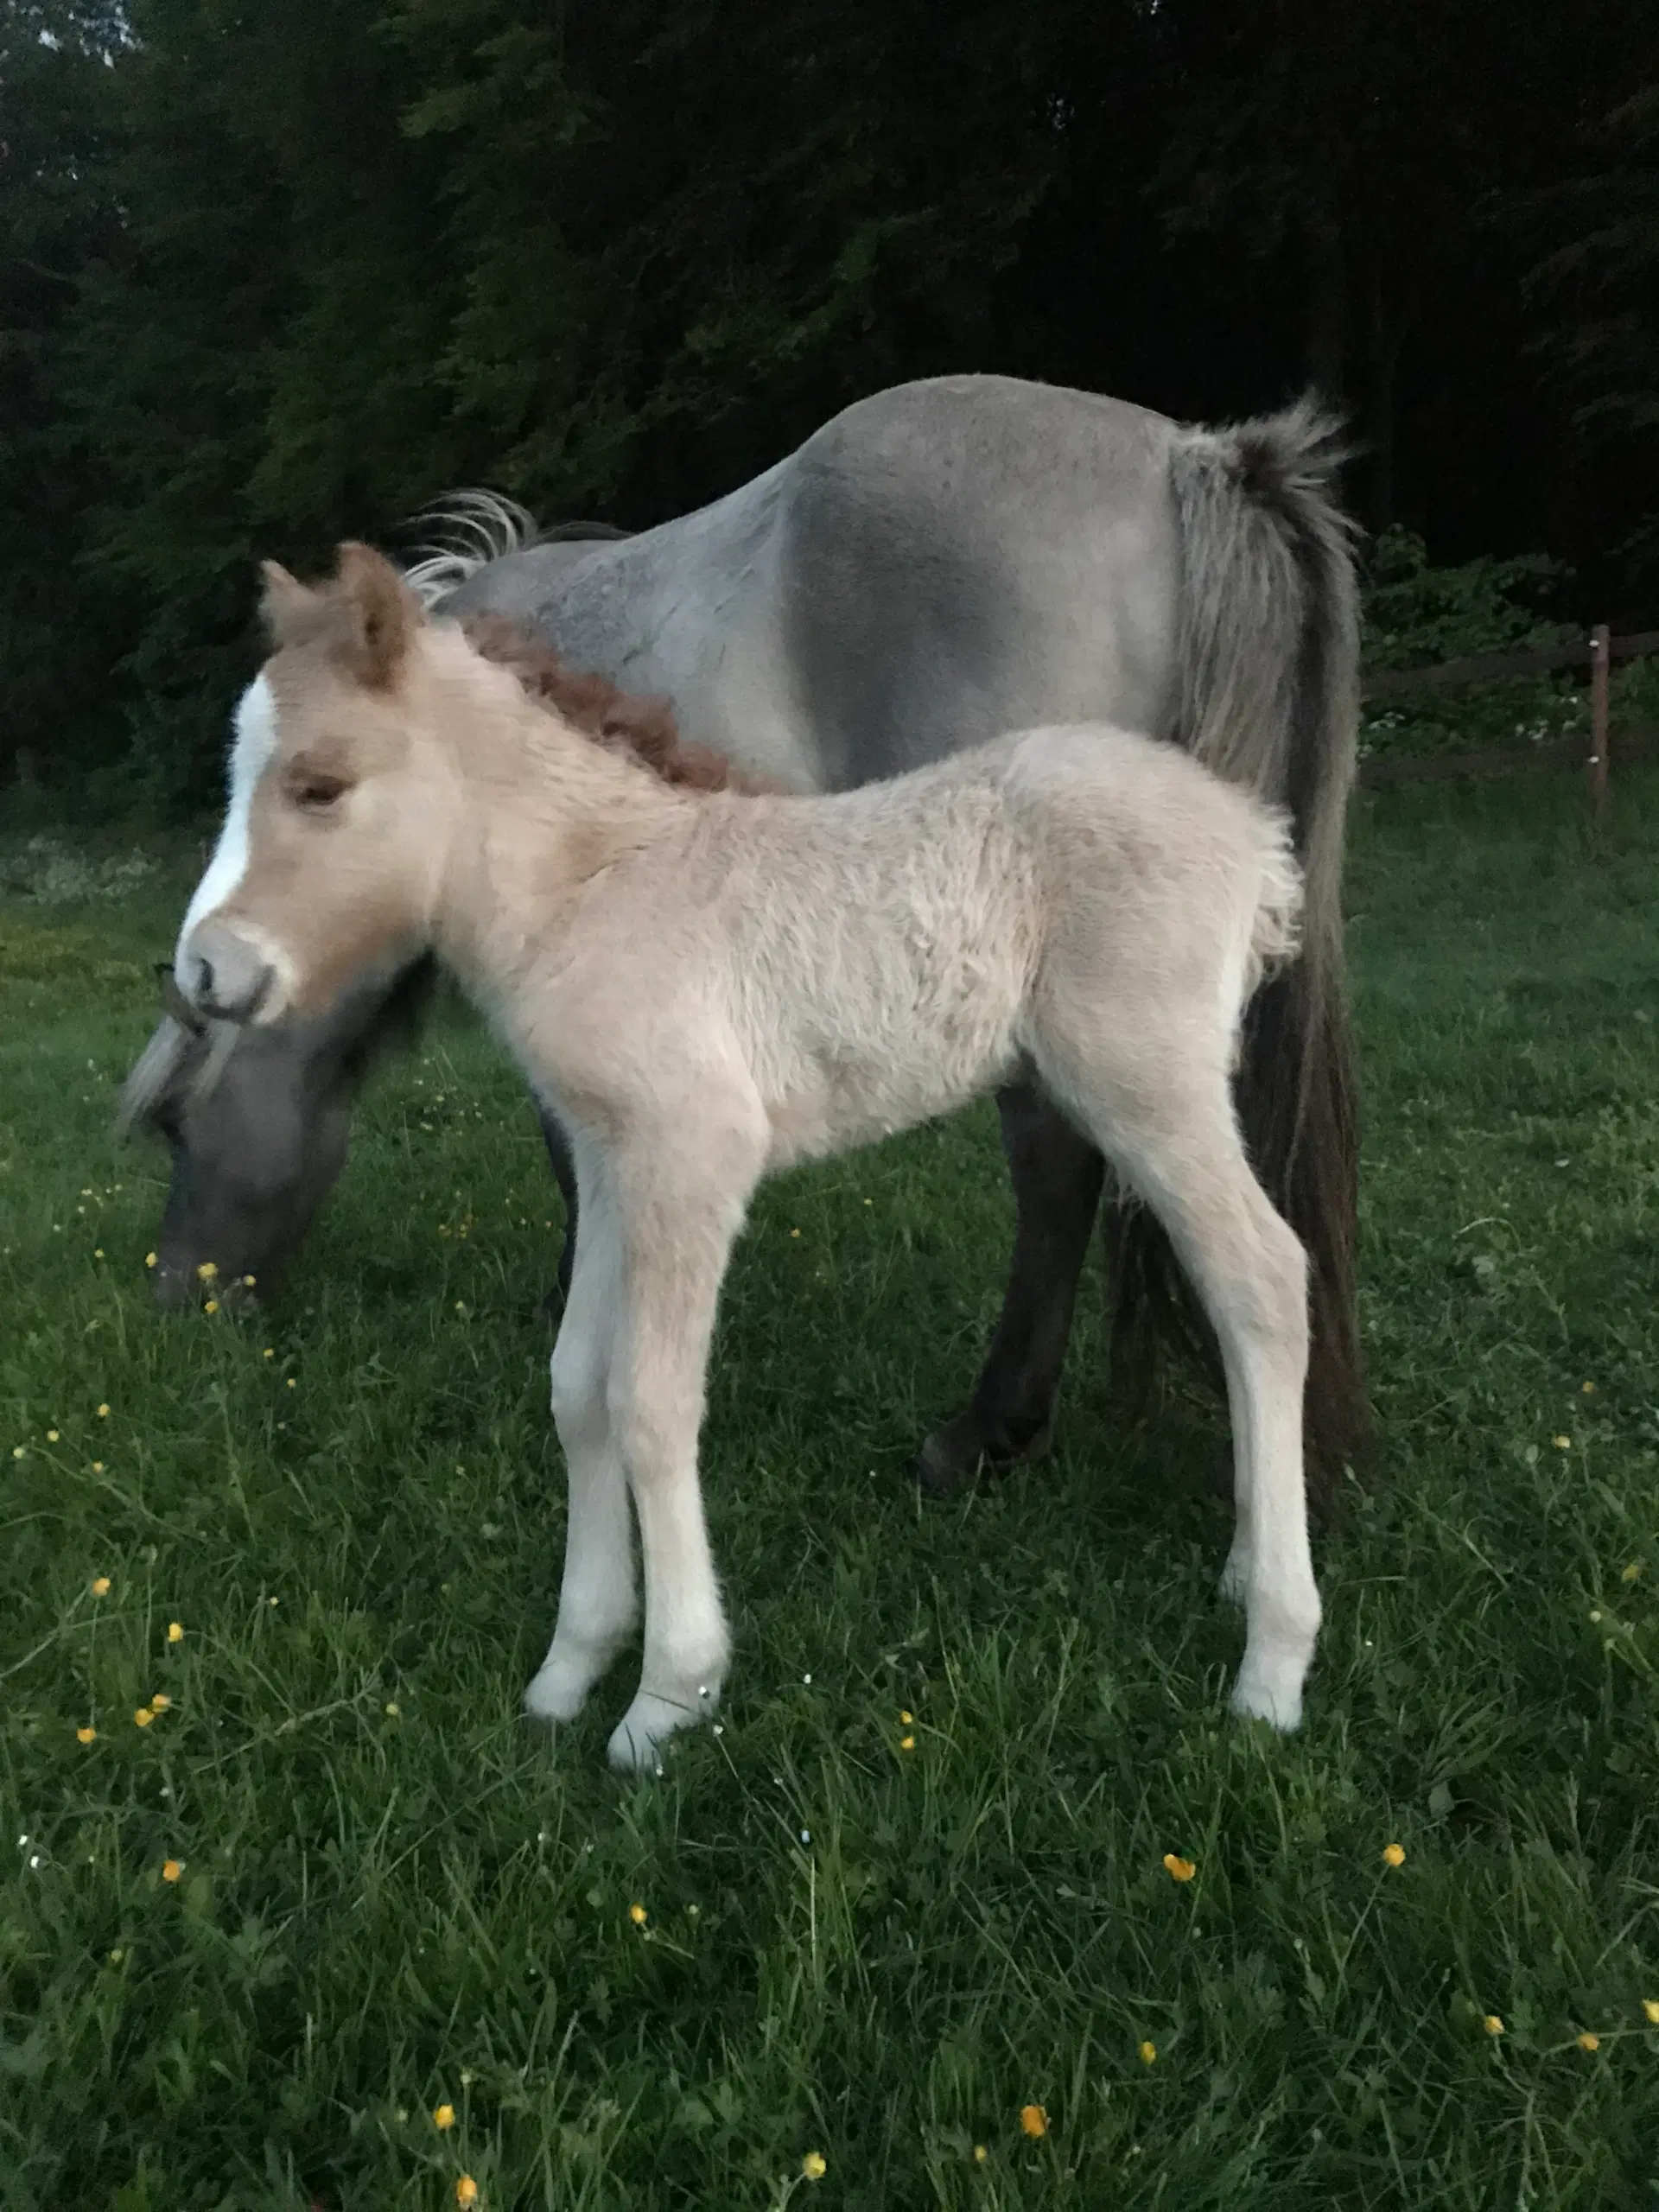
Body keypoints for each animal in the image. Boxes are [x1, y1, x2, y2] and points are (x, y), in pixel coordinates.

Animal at [119, 376, 1362, 1503]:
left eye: (174, 1126)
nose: (178, 1302)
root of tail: (1190, 457)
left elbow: (574, 1156)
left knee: (1057, 1166)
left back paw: (985, 1432)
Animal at [181, 543, 1327, 1770]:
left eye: (320, 784)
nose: (202, 973)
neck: (594, 886)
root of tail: (1252, 835)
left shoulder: (693, 1154)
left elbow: (651, 1402)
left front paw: (666, 1698)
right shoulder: (607, 1161)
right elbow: (578, 1387)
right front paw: (570, 1667)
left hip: (1144, 1083)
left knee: (1263, 1280)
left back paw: (1273, 1664)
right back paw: (1244, 1568)